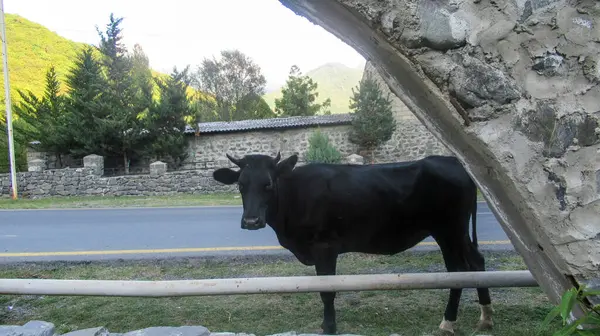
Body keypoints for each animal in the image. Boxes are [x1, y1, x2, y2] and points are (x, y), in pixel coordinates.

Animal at [213, 152, 494, 334]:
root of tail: (453, 161)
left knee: (458, 270)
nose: (251, 221)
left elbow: (327, 291)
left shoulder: (324, 248)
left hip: (450, 230)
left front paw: (329, 327)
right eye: (240, 185)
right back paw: (485, 318)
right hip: (456, 233)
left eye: (268, 184)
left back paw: (448, 323)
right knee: (475, 262)